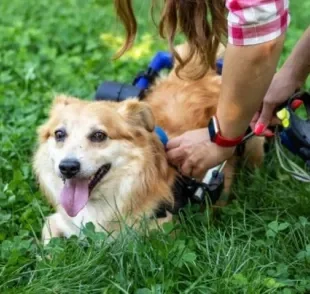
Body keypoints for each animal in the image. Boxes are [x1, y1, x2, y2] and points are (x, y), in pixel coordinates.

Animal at [32, 44, 264, 243]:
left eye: (99, 135)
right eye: (59, 134)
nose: (68, 167)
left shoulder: (163, 233)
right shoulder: (61, 221)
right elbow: (49, 235)